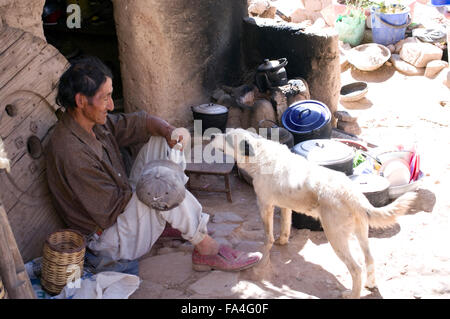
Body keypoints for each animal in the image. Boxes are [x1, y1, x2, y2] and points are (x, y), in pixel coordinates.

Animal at [209, 129, 416, 298]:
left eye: (227, 138)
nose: (211, 135)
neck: (259, 154)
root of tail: (353, 195)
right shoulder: (285, 206)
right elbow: (285, 226)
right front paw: (282, 241)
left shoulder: (264, 205)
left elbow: (267, 235)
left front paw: (265, 248)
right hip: (361, 233)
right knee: (369, 259)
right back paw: (370, 285)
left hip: (335, 236)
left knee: (356, 268)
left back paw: (352, 294)